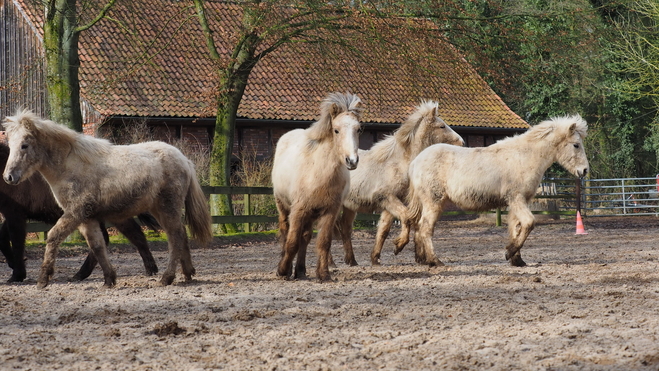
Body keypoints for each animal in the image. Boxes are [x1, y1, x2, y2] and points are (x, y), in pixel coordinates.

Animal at [0, 144, 159, 284]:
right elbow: (3, 238)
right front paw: (13, 265)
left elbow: (17, 242)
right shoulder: (11, 215)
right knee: (115, 237)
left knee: (132, 235)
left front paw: (17, 274)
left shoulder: (15, 214)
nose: (9, 178)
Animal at [270, 92, 364, 282]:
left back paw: (300, 270)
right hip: (284, 207)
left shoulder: (330, 211)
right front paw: (282, 271)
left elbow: (324, 242)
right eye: (336, 130)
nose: (352, 161)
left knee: (305, 238)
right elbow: (292, 242)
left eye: (359, 129)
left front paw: (324, 274)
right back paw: (287, 269)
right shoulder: (298, 210)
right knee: (285, 233)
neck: (319, 173)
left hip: (311, 213)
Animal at [336, 100, 464, 266]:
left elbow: (384, 229)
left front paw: (376, 258)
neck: (397, 163)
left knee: (345, 228)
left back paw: (351, 260)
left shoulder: (392, 202)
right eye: (442, 126)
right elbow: (407, 217)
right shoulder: (386, 198)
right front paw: (399, 245)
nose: (462, 142)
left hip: (350, 206)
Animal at [404, 115, 592, 268]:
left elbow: (516, 227)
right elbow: (529, 223)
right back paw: (435, 261)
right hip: (433, 202)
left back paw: (422, 259)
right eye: (576, 145)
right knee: (425, 228)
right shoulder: (516, 199)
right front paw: (509, 252)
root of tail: (415, 161)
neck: (524, 157)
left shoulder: (517, 202)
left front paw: (517, 260)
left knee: (419, 227)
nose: (584, 171)